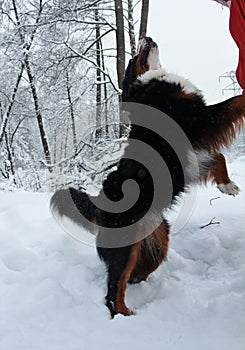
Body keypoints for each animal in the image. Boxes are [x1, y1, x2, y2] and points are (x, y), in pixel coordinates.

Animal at [50, 37, 245, 318]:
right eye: (133, 58)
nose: (147, 38)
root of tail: (100, 203)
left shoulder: (195, 145)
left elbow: (217, 156)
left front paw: (227, 185)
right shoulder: (199, 117)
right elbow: (236, 102)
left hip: (157, 241)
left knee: (132, 275)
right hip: (124, 247)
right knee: (113, 289)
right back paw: (126, 316)